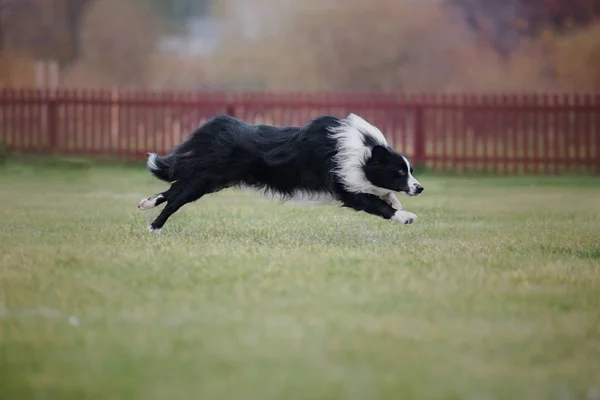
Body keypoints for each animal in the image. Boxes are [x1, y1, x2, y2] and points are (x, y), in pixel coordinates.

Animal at [138, 112, 424, 231]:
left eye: (409, 170)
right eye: (400, 171)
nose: (420, 188)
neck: (363, 150)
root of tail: (217, 127)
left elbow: (381, 194)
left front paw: (396, 201)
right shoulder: (344, 187)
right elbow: (377, 204)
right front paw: (406, 216)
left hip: (205, 178)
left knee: (173, 190)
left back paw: (146, 203)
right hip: (207, 178)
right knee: (176, 199)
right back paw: (154, 227)